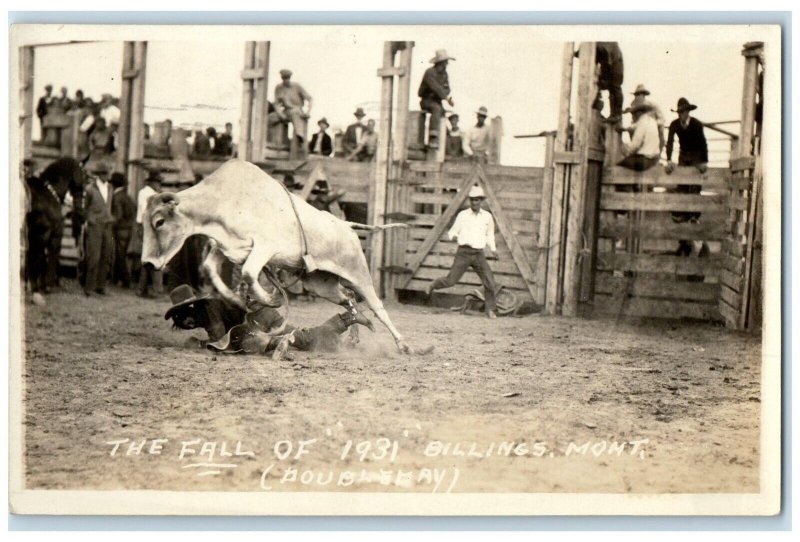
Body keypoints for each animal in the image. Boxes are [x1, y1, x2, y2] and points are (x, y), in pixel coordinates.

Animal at [25, 157, 88, 302]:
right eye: (84, 176)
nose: (82, 214)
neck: (48, 193)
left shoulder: (34, 236)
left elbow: (36, 259)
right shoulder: (44, 234)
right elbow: (38, 259)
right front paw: (37, 289)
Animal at [142, 160, 424, 356]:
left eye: (159, 221)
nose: (148, 263)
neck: (226, 200)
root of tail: (346, 225)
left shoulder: (265, 248)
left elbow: (249, 272)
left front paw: (268, 298)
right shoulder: (226, 248)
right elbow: (211, 269)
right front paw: (240, 299)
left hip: (358, 273)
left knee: (377, 306)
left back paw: (404, 345)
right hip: (321, 284)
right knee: (348, 299)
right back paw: (355, 334)